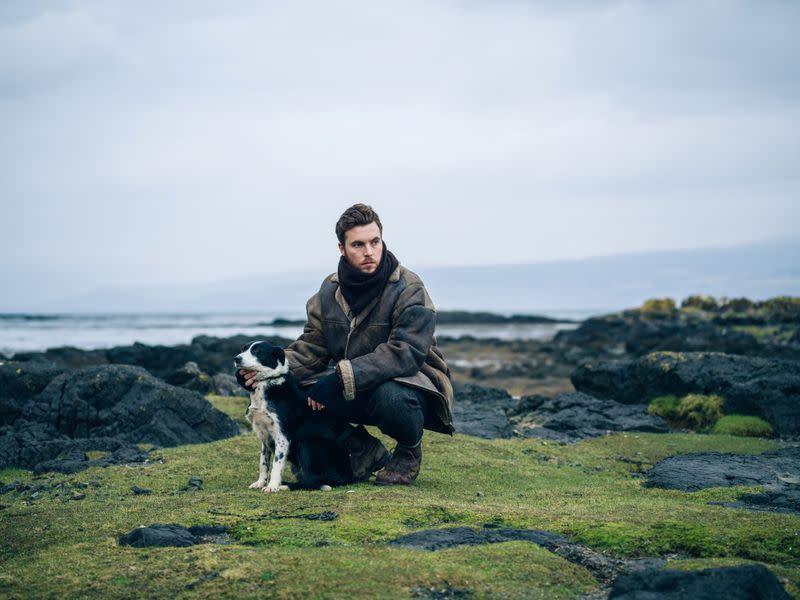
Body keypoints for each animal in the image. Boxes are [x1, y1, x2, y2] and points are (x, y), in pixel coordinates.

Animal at [234, 340, 354, 490]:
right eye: (243, 349)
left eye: (257, 351)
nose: (236, 359)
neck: (267, 382)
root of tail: (349, 477)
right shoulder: (264, 437)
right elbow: (263, 463)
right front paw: (261, 482)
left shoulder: (282, 437)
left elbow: (276, 464)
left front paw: (272, 486)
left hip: (308, 445)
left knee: (314, 482)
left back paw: (285, 486)